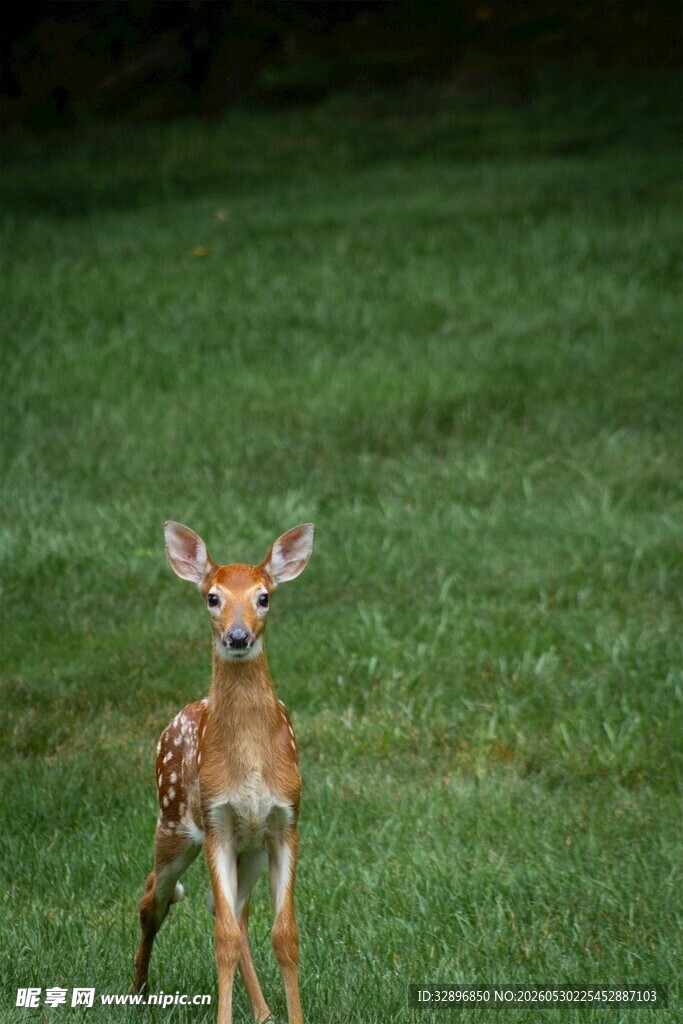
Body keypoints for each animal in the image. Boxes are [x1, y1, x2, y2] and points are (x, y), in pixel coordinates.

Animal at [133, 520, 315, 1024]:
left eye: (264, 597)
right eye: (212, 597)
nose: (237, 636)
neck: (250, 765)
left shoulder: (285, 820)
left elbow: (285, 934)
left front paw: (291, 1017)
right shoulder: (217, 821)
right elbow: (224, 939)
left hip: (248, 850)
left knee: (231, 910)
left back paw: (265, 1012)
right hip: (173, 822)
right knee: (154, 897)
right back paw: (137, 989)